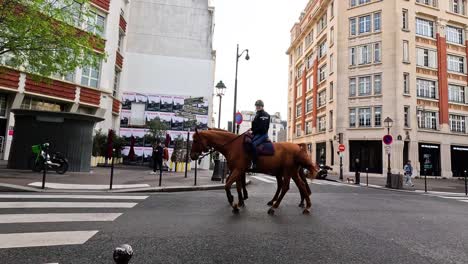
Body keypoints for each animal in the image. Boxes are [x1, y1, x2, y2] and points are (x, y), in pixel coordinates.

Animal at [190, 128, 318, 214]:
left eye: (195, 140)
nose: (192, 156)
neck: (233, 145)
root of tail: (297, 147)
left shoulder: (238, 170)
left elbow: (228, 185)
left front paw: (233, 203)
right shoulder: (236, 170)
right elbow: (237, 185)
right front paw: (240, 201)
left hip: (287, 172)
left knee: (286, 187)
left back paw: (274, 207)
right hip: (292, 172)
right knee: (300, 185)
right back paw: (307, 206)